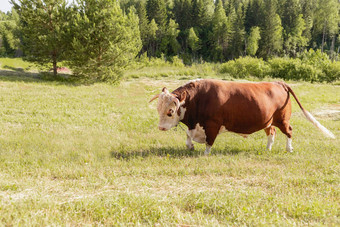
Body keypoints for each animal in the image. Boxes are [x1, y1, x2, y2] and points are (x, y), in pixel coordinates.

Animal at [149, 79, 334, 155]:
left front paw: (206, 154)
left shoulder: (212, 125)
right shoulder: (194, 125)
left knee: (289, 131)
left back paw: (289, 149)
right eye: (158, 108)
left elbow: (209, 142)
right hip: (269, 121)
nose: (161, 127)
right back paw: (268, 149)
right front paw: (191, 147)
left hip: (282, 119)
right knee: (271, 133)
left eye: (170, 111)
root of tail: (278, 82)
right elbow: (188, 138)